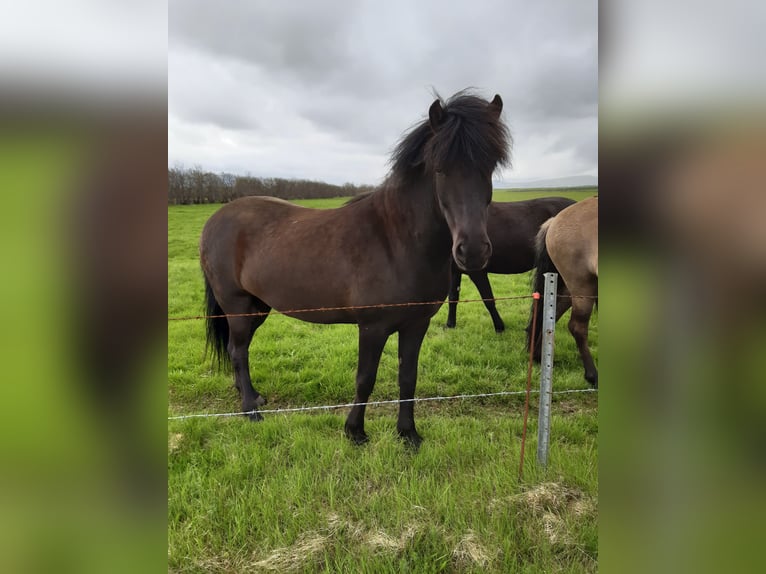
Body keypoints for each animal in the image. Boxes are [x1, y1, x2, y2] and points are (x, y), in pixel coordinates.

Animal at [200, 92, 510, 448]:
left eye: (490, 166)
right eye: (440, 168)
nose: (472, 251)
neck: (396, 241)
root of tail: (215, 220)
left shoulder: (416, 324)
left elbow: (408, 377)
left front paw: (408, 434)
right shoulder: (372, 327)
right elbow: (365, 378)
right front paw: (355, 432)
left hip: (257, 306)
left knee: (239, 349)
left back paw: (251, 396)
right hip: (237, 305)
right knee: (237, 350)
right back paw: (250, 409)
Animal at [444, 197, 576, 332]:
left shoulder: (477, 272)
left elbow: (488, 299)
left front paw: (499, 327)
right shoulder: (454, 271)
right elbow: (453, 297)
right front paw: (450, 325)